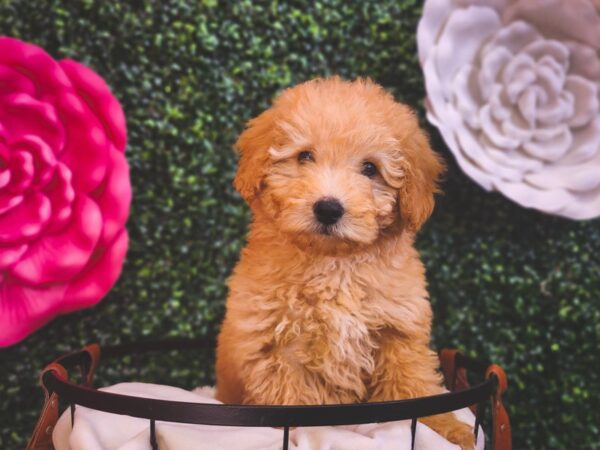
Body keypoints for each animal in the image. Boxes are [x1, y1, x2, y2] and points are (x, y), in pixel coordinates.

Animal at [216, 77, 474, 450]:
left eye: (370, 169)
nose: (328, 208)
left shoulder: (399, 331)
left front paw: (445, 429)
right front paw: (298, 437)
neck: (336, 264)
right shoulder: (277, 347)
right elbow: (289, 400)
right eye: (305, 156)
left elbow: (414, 385)